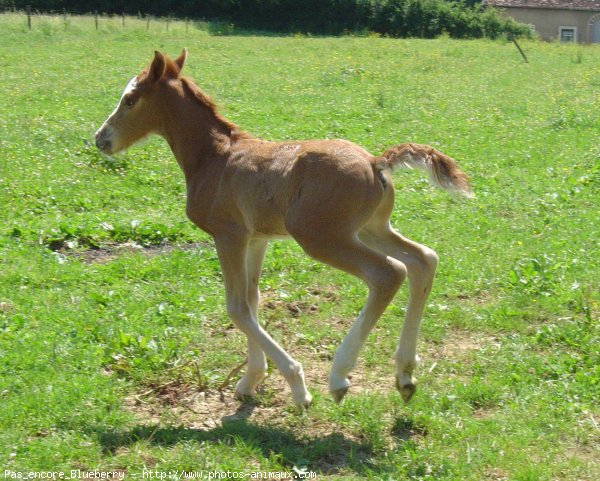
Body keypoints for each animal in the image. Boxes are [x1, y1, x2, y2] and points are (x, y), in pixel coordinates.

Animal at [96, 50, 474, 406]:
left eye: (130, 99)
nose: (101, 139)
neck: (214, 157)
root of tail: (374, 161)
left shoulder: (228, 234)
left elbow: (237, 307)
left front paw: (297, 387)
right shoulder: (256, 239)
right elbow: (252, 301)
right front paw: (249, 381)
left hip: (320, 236)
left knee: (388, 273)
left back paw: (339, 376)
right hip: (370, 229)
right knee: (423, 259)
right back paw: (405, 375)